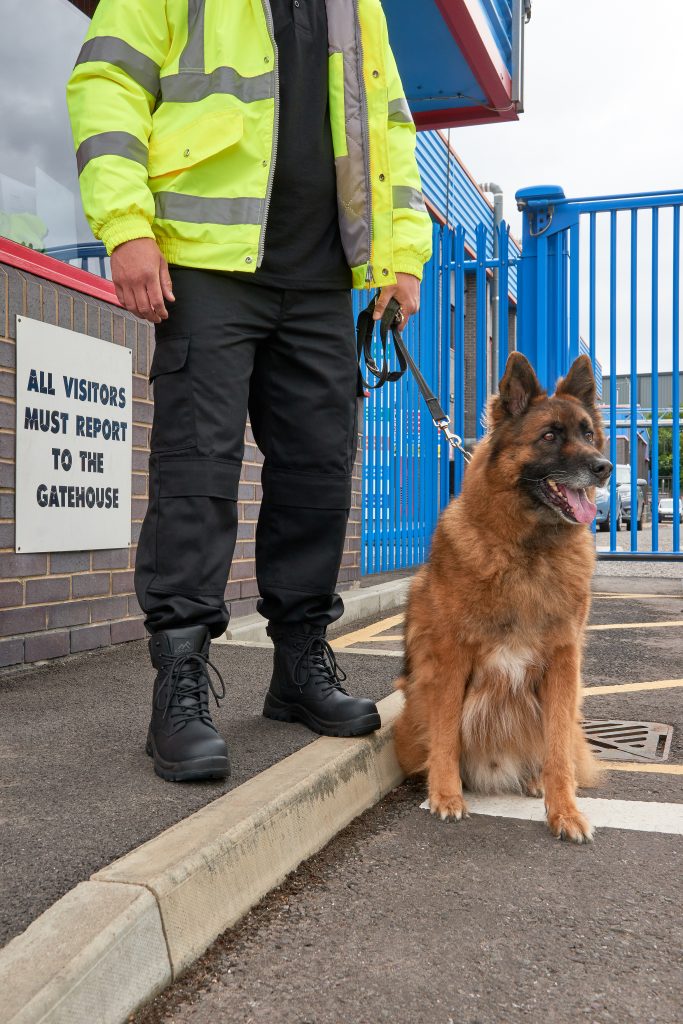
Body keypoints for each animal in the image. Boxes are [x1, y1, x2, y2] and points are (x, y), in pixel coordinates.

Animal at [393, 352, 610, 839]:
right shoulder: (451, 658)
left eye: (588, 433)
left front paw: (563, 809)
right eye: (549, 436)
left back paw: (536, 780)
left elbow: (557, 749)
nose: (605, 467)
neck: (526, 554)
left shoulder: (563, 661)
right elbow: (446, 733)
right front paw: (446, 795)